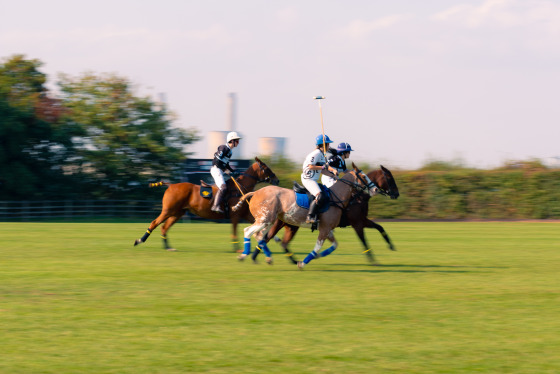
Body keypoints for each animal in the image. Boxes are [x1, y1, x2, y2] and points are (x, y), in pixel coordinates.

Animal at [133, 156, 278, 250]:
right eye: (266, 168)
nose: (277, 180)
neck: (240, 188)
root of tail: (171, 185)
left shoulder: (245, 215)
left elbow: (262, 225)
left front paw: (273, 238)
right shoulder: (235, 216)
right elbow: (235, 232)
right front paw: (237, 248)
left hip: (178, 213)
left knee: (164, 227)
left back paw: (168, 247)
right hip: (168, 210)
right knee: (155, 223)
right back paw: (140, 240)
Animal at [232, 164, 376, 268]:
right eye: (364, 176)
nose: (375, 189)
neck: (336, 198)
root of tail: (255, 192)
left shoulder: (327, 228)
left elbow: (334, 245)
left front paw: (316, 257)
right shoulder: (325, 229)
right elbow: (317, 247)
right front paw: (302, 263)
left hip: (269, 221)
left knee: (261, 236)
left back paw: (267, 257)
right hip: (265, 220)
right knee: (249, 231)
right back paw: (244, 255)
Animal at [256, 165, 400, 264]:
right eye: (389, 178)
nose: (396, 194)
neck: (356, 198)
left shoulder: (362, 221)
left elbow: (380, 227)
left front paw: (391, 245)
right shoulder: (357, 223)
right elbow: (364, 241)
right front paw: (373, 260)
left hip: (290, 225)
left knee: (277, 241)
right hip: (285, 224)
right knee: (268, 238)